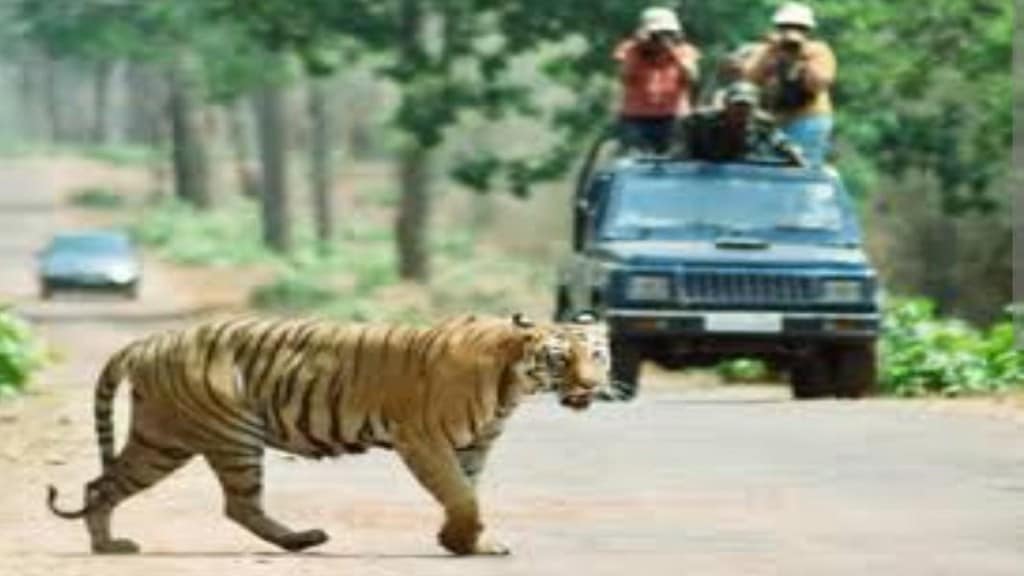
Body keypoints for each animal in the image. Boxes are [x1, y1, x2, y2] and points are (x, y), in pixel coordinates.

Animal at [48, 311, 606, 553]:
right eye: (561, 358)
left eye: (597, 354)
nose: (593, 386)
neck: (513, 386)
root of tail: (148, 341)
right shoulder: (424, 439)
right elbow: (460, 495)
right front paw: (464, 542)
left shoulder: (473, 446)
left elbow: (466, 494)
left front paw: (464, 542)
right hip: (228, 435)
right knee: (238, 504)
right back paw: (300, 540)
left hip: (161, 439)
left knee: (101, 484)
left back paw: (107, 545)